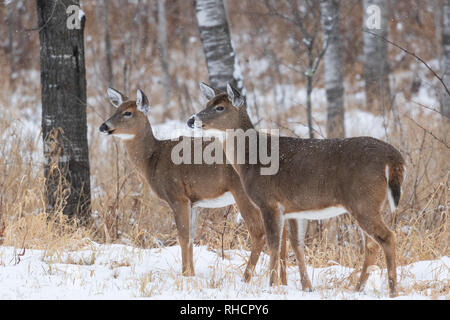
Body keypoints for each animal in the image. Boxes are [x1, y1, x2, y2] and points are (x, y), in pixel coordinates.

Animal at [98, 87, 290, 282]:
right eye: (115, 109)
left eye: (128, 112)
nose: (103, 126)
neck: (153, 159)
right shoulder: (193, 201)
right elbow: (191, 238)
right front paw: (191, 274)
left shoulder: (177, 195)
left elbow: (183, 237)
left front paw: (185, 275)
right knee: (283, 234)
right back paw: (282, 281)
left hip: (243, 193)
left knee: (259, 232)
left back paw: (246, 278)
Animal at [188, 82, 406, 298]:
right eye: (207, 103)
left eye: (220, 107)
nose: (191, 120)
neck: (250, 160)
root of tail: (394, 158)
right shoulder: (294, 210)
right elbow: (296, 245)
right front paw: (307, 287)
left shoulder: (268, 202)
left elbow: (274, 244)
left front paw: (270, 286)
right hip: (366, 203)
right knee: (371, 244)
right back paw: (358, 288)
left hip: (363, 200)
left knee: (387, 237)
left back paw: (392, 290)